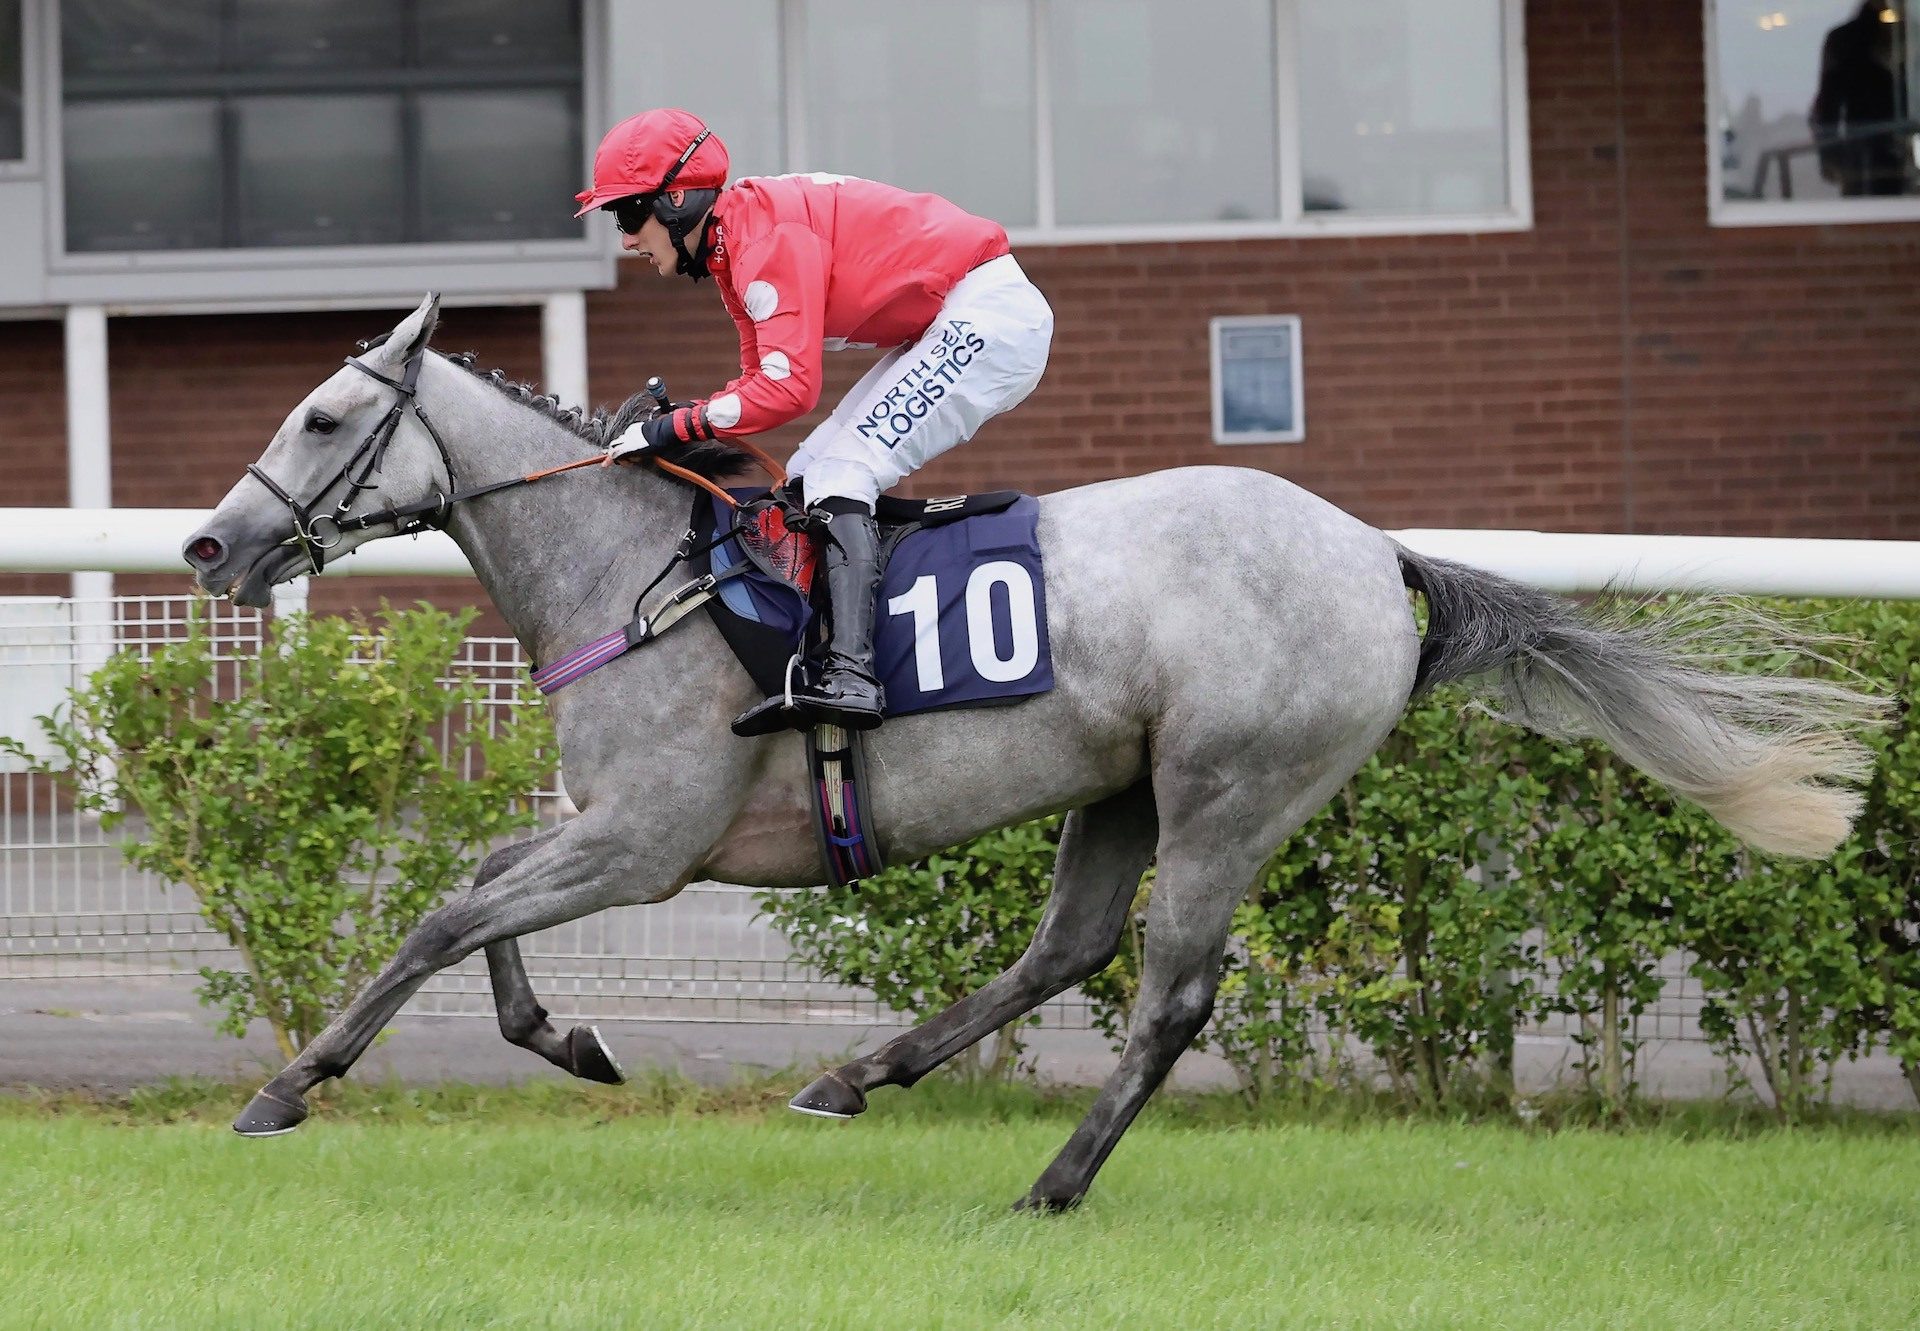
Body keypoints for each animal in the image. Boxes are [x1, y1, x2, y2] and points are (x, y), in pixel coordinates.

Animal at [191, 295, 1873, 1206]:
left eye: (325, 413)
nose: (212, 543)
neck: (635, 571)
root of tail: (1374, 552)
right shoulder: (606, 822)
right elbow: (477, 885)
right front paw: (569, 1037)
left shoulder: (648, 841)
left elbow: (445, 909)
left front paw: (290, 1085)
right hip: (1119, 788)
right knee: (1063, 948)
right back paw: (858, 1074)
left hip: (1228, 791)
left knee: (1167, 993)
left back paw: (1053, 1176)